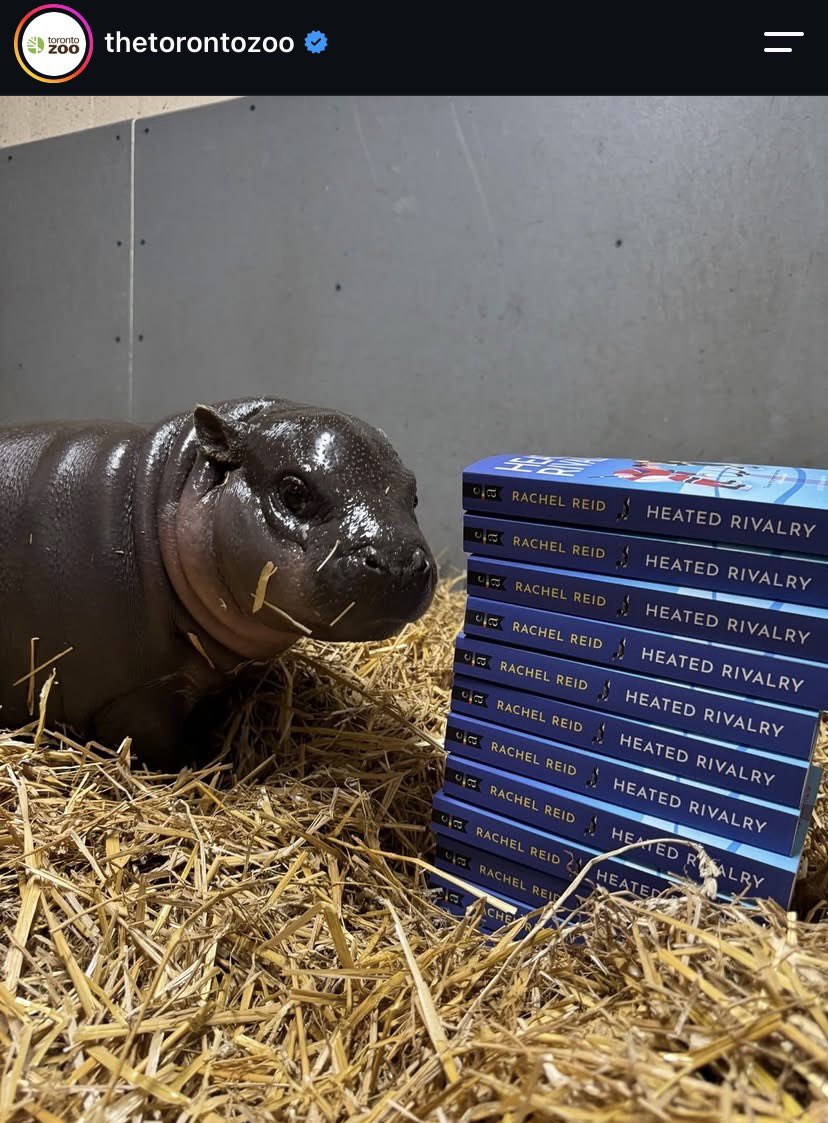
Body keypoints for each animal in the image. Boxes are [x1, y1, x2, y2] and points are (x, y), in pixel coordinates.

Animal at [0, 398, 436, 766]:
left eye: (414, 493)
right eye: (293, 490)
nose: (399, 561)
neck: (153, 503)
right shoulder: (135, 698)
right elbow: (161, 749)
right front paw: (203, 761)